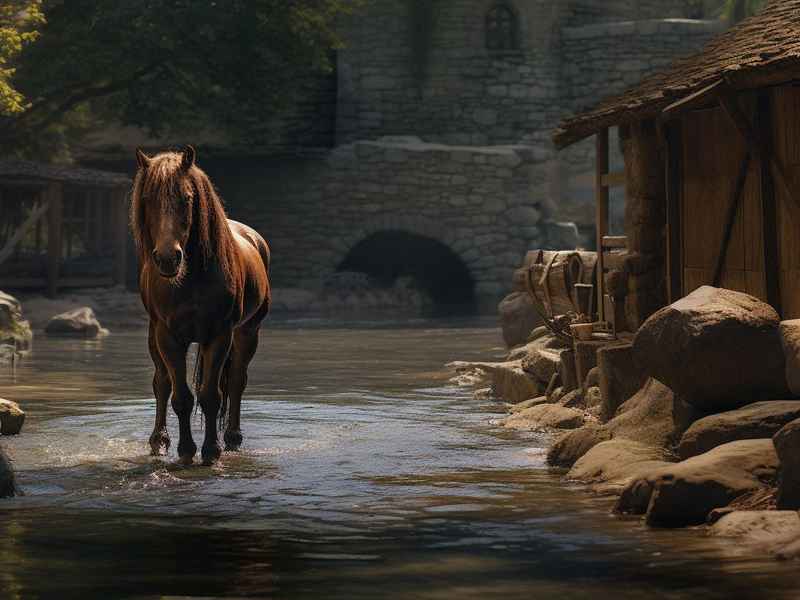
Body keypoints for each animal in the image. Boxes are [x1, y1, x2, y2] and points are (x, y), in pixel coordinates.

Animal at [131, 146, 271, 466]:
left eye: (187, 198)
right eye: (148, 198)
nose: (168, 258)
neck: (191, 278)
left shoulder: (218, 334)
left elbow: (211, 395)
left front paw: (210, 451)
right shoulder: (169, 336)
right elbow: (181, 396)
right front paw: (185, 450)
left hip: (247, 333)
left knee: (236, 381)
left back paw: (232, 438)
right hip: (153, 335)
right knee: (161, 383)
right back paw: (159, 441)